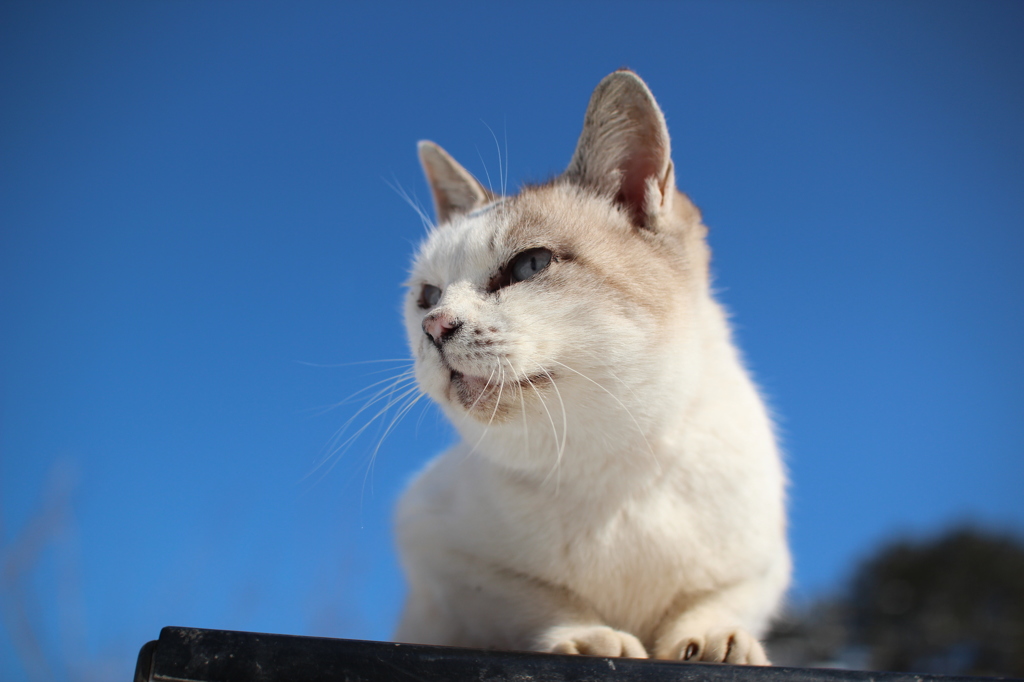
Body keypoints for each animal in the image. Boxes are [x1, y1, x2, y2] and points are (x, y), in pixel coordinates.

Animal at [393, 70, 790, 663]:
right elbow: (535, 599)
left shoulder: (764, 562)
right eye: (427, 296)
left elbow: (718, 600)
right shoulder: (440, 549)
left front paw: (716, 638)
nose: (435, 327)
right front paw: (587, 637)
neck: (615, 470)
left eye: (529, 265)